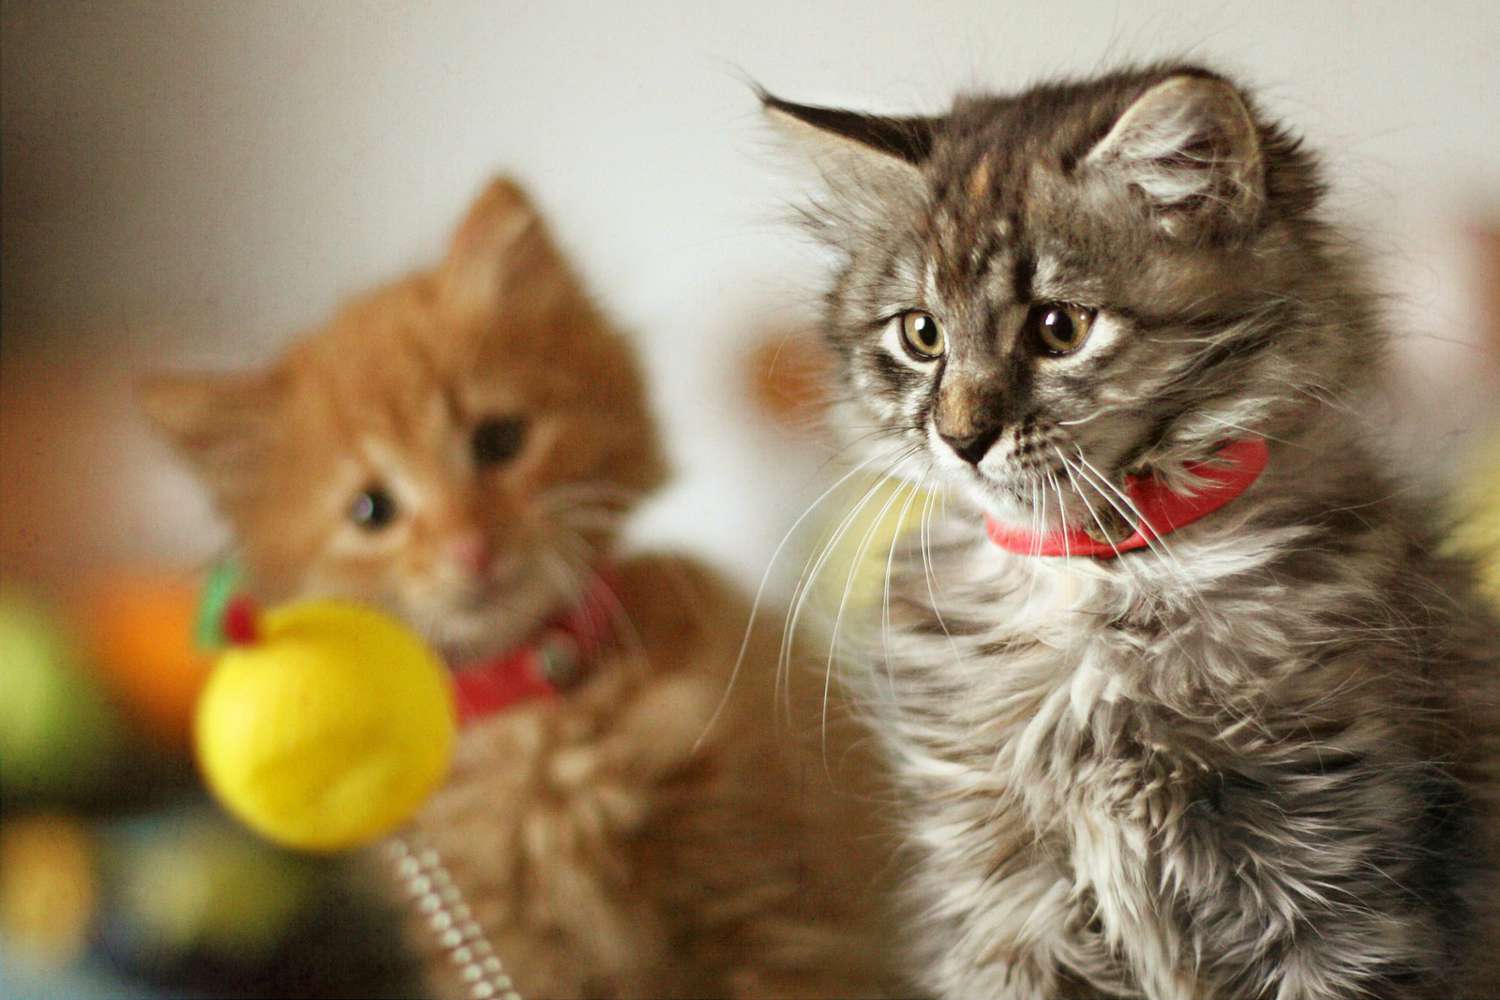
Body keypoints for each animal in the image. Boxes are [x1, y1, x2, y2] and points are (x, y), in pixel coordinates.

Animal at [141, 179, 894, 1000]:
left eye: (499, 441)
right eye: (371, 510)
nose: (470, 546)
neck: (536, 730)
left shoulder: (773, 895)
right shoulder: (506, 941)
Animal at [762, 64, 1500, 1000]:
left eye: (1060, 328)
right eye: (921, 335)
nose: (961, 437)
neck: (1098, 578)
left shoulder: (1340, 873)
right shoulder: (1002, 906)